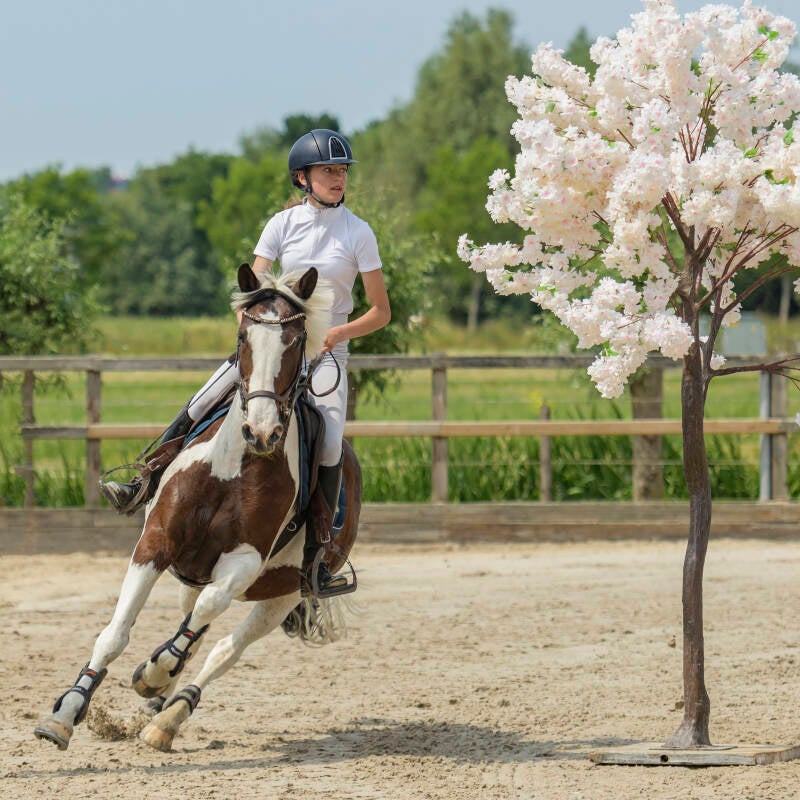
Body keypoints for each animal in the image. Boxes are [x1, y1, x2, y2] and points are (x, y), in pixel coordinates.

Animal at [34, 264, 362, 752]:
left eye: (297, 340)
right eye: (244, 337)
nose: (261, 432)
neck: (235, 467)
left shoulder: (243, 563)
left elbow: (207, 616)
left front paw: (155, 673)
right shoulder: (156, 543)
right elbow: (116, 633)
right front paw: (65, 714)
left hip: (283, 593)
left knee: (223, 648)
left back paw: (167, 715)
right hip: (194, 571)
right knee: (193, 623)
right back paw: (158, 696)